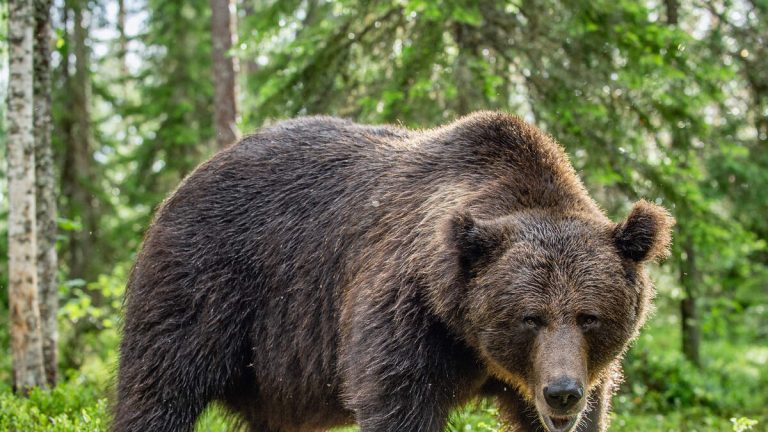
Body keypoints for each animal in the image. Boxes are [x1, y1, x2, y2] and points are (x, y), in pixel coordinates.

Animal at [113, 111, 674, 432]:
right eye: (529, 318)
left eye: (588, 317)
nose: (562, 392)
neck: (469, 339)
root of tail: (191, 177)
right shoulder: (406, 314)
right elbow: (399, 400)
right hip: (207, 285)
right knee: (160, 387)